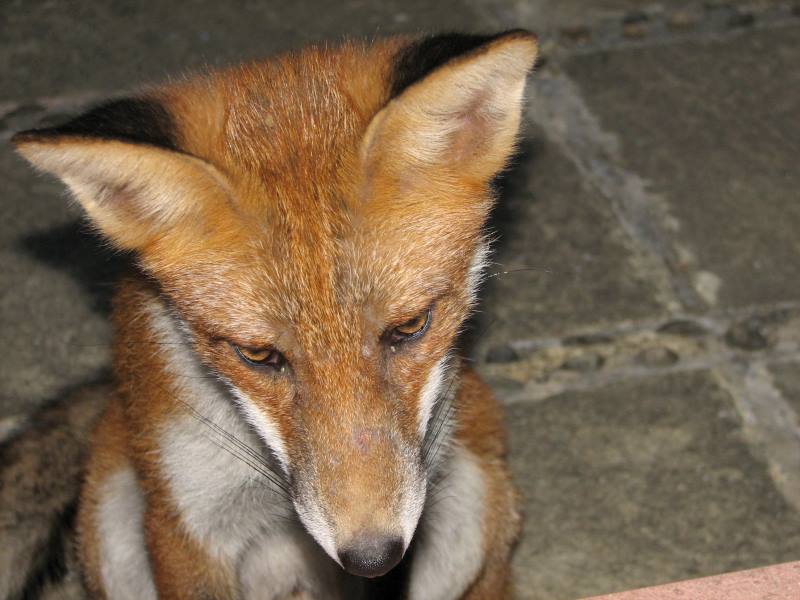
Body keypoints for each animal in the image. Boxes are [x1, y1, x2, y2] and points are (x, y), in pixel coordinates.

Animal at [9, 29, 536, 600]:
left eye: (410, 327)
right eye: (258, 355)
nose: (372, 554)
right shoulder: (190, 523)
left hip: (471, 500)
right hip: (113, 526)